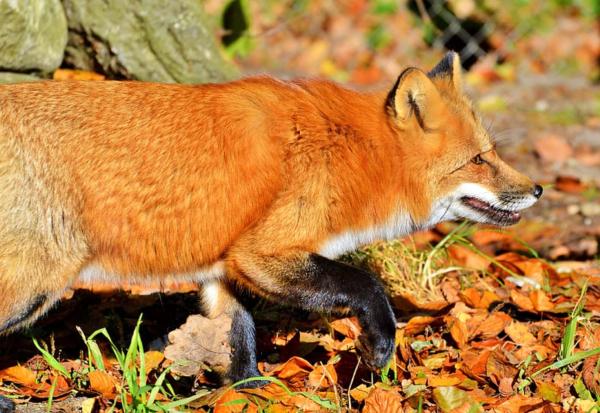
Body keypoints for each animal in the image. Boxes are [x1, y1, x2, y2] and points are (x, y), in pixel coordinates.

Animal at [0, 51, 540, 402]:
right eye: (479, 160)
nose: (537, 190)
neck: (348, 154)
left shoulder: (225, 264)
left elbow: (239, 331)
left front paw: (250, 389)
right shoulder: (262, 252)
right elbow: (366, 284)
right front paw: (380, 345)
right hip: (35, 283)